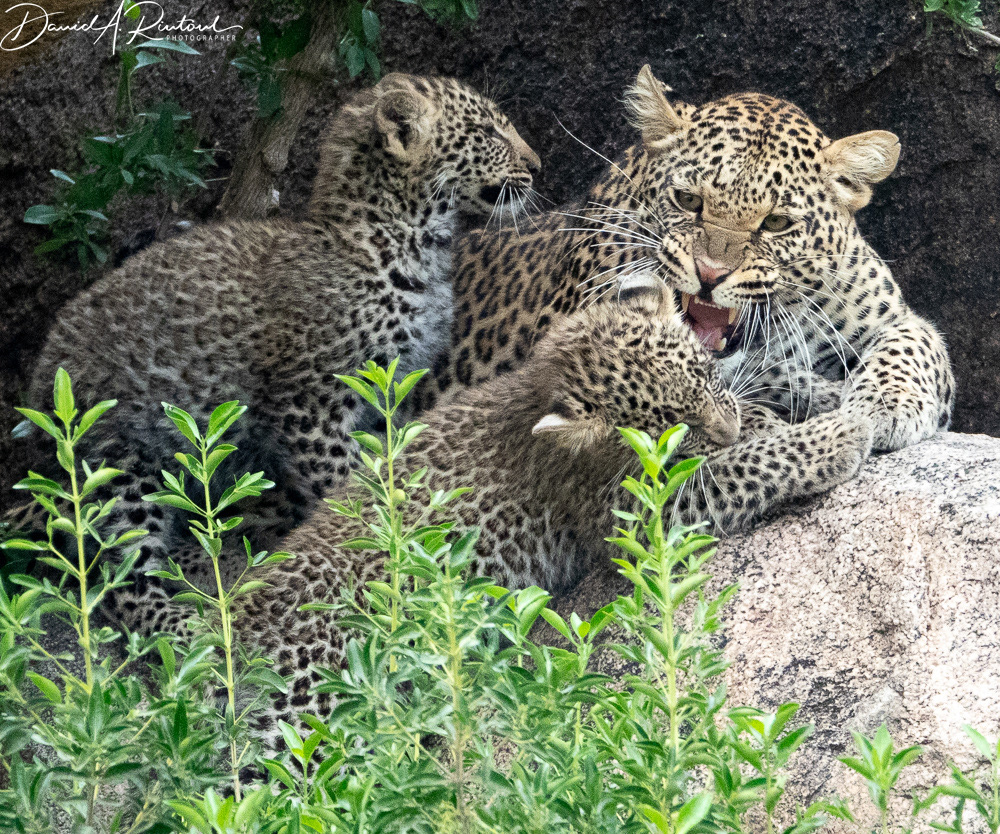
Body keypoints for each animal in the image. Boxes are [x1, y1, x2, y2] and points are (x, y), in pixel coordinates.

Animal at [10, 72, 540, 630]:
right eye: (490, 132)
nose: (537, 166)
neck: (415, 244)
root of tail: (38, 386)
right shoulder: (309, 405)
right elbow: (349, 482)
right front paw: (389, 535)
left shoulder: (385, 391)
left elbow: (386, 459)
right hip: (117, 468)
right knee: (120, 576)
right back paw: (186, 629)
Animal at [196, 282, 872, 749]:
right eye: (665, 433)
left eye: (704, 374)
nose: (723, 427)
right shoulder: (639, 515)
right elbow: (745, 466)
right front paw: (838, 435)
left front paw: (794, 407)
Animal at [424, 65, 954, 514]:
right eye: (687, 200)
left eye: (776, 223)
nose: (710, 273)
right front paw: (771, 418)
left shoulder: (888, 315)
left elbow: (914, 346)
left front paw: (886, 406)